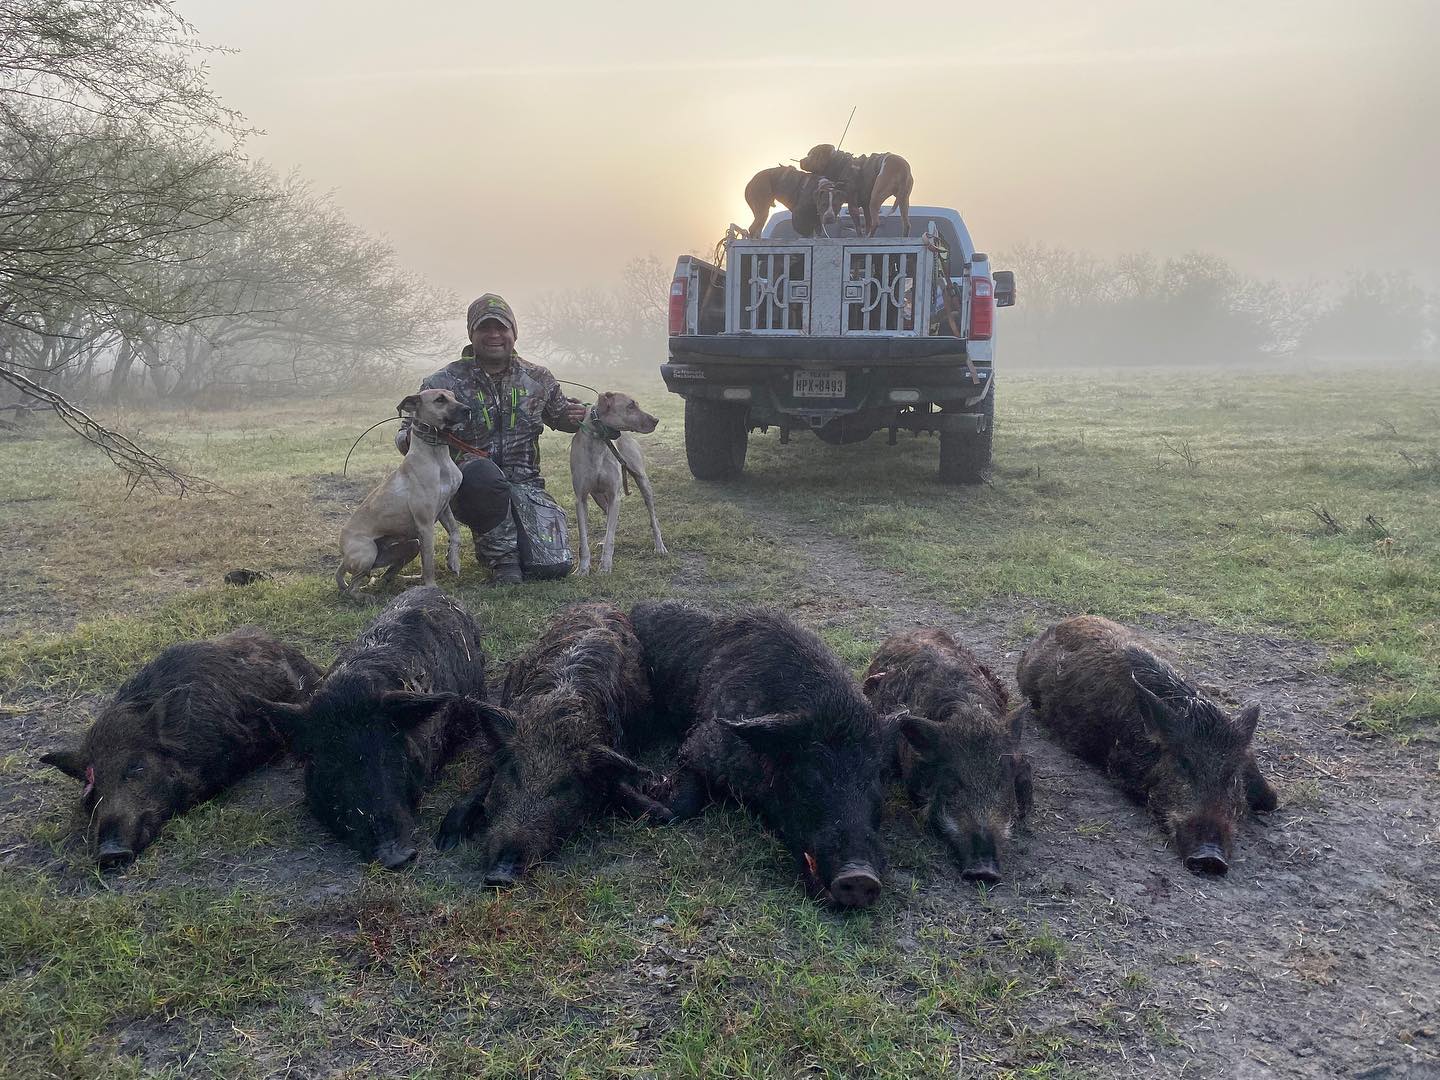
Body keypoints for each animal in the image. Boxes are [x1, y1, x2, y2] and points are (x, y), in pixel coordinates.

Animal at [334, 391, 469, 601]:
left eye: (453, 395)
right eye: (440, 399)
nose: (468, 409)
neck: (437, 457)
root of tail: (344, 554)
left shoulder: (444, 509)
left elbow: (455, 533)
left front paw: (453, 561)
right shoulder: (425, 525)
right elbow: (428, 563)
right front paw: (431, 588)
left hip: (410, 546)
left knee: (383, 574)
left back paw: (397, 578)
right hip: (368, 553)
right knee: (352, 587)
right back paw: (363, 596)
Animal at [570, 388, 665, 576]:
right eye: (630, 405)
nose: (656, 420)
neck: (599, 440)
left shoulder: (615, 496)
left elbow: (610, 538)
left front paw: (605, 566)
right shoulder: (581, 499)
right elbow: (583, 540)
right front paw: (583, 568)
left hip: (643, 483)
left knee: (653, 518)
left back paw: (659, 546)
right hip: (598, 496)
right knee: (608, 516)